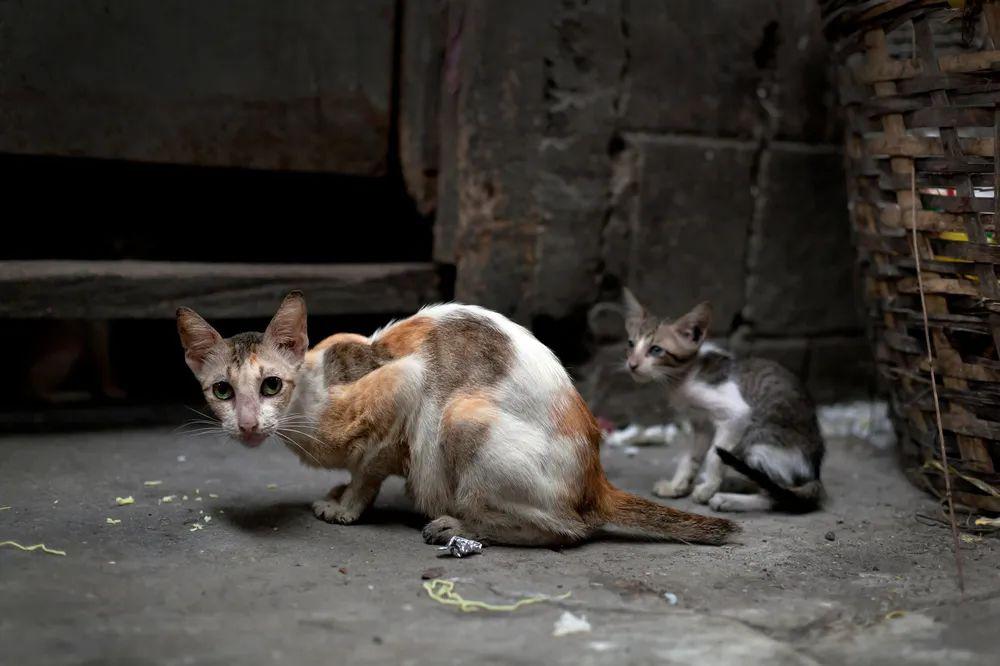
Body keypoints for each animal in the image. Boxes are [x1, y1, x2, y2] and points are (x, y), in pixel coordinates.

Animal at [174, 290, 736, 544]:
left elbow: (368, 468)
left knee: (565, 529)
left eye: (271, 385)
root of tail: (596, 479)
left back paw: (456, 523)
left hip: (461, 415)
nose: (248, 424)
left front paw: (347, 506)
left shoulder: (405, 387)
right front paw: (341, 491)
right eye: (222, 391)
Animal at [620, 288, 824, 510]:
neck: (682, 378)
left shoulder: (736, 415)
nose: (632, 365)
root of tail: (815, 472)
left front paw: (708, 489)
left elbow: (714, 455)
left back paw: (728, 498)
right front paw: (677, 486)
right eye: (630, 344)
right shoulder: (700, 424)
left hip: (759, 442)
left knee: (776, 494)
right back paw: (734, 484)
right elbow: (690, 456)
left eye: (656, 350)